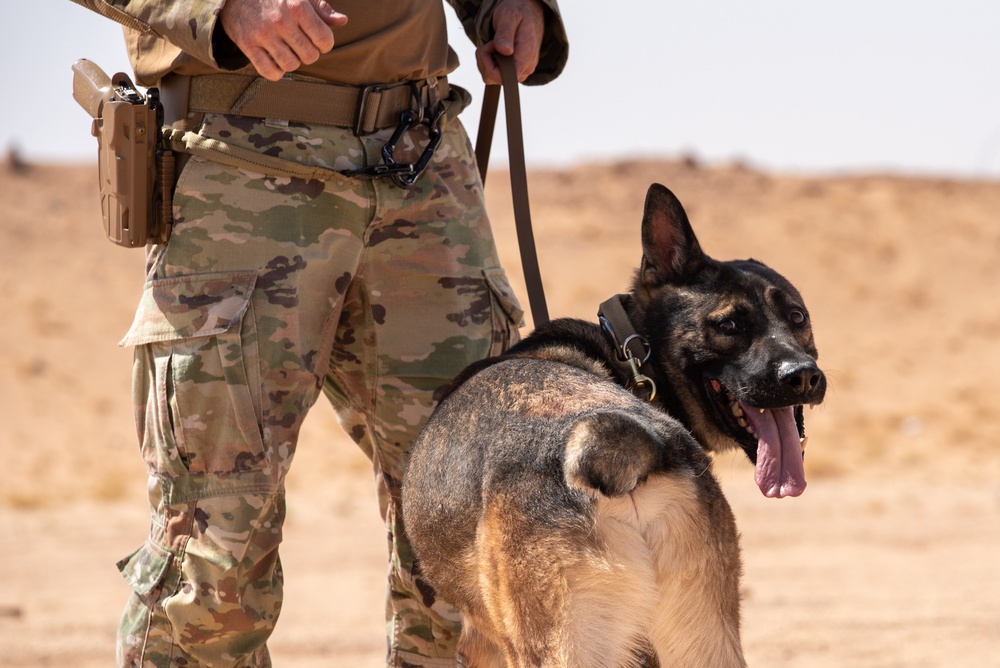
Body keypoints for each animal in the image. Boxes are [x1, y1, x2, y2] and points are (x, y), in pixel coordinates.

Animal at [400, 184, 828, 668]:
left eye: (796, 318)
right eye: (729, 324)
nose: (802, 376)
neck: (630, 360)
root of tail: (620, 443)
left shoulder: (481, 645)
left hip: (558, 646)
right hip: (704, 640)